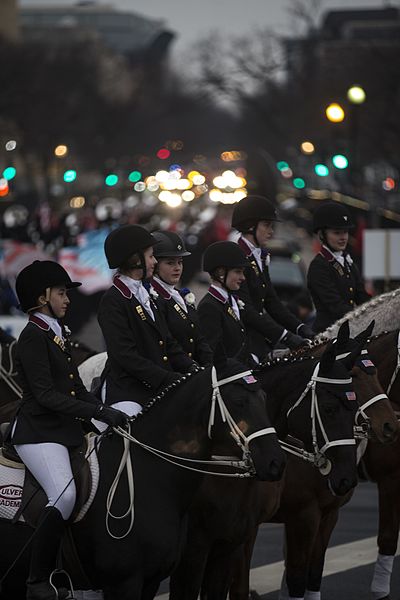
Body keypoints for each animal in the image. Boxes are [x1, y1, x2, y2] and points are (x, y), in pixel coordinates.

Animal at [0, 360, 288, 600]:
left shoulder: (153, 579)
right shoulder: (124, 583)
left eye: (264, 397)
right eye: (239, 401)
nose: (276, 463)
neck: (151, 478)